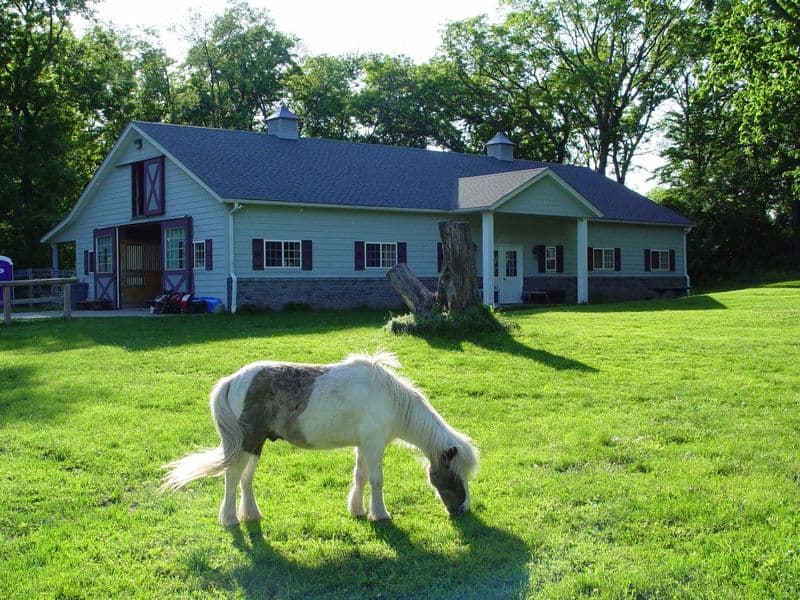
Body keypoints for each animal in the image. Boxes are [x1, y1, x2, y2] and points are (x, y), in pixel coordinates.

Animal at [162, 351, 479, 525]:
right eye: (454, 474)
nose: (463, 509)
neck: (387, 398)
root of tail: (232, 381)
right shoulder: (374, 445)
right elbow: (376, 480)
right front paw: (380, 514)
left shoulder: (363, 445)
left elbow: (360, 476)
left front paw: (358, 510)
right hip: (247, 442)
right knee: (232, 477)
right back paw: (229, 519)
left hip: (255, 444)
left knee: (245, 478)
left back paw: (251, 514)